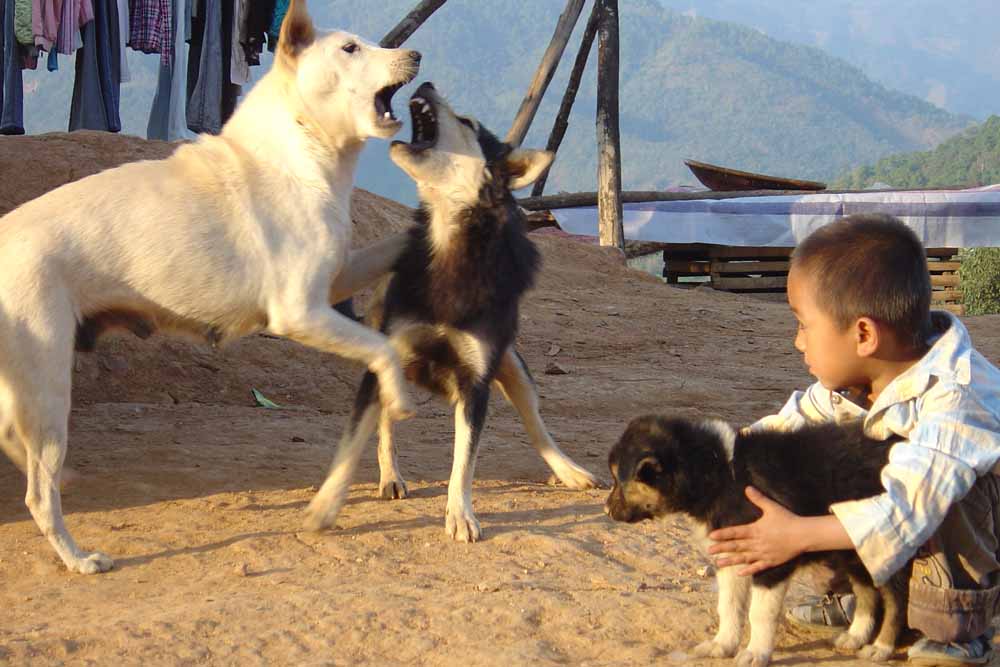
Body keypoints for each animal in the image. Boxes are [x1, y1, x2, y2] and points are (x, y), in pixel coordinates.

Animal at [0, 0, 418, 576]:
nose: (415, 55)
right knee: (38, 494)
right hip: (47, 384)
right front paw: (399, 397)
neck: (299, 144)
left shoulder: (337, 280)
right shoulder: (300, 312)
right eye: (350, 48)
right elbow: (383, 348)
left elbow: (391, 260)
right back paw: (80, 558)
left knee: (13, 442)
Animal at [304, 83, 596, 544]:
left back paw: (568, 470)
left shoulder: (476, 382)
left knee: (535, 423)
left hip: (514, 368)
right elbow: (351, 446)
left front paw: (460, 515)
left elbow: (464, 461)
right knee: (385, 426)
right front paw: (326, 506)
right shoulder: (386, 358)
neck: (449, 247)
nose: (425, 84)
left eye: (467, 123)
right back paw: (390, 476)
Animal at [600, 418, 908, 667]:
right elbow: (729, 606)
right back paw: (855, 637)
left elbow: (759, 612)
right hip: (855, 546)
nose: (605, 510)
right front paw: (722, 644)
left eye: (618, 480)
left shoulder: (772, 558)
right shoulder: (730, 556)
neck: (721, 475)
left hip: (883, 538)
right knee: (867, 591)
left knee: (895, 600)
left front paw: (756, 653)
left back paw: (881, 648)